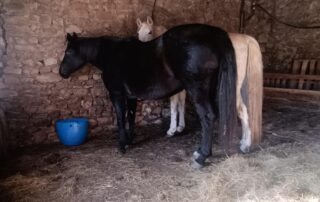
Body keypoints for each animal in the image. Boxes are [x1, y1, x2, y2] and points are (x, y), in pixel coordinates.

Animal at [58, 24, 236, 167]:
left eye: (69, 51)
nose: (62, 72)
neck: (111, 54)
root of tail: (214, 34)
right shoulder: (131, 97)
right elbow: (130, 117)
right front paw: (130, 141)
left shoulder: (116, 94)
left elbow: (121, 119)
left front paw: (122, 145)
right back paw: (200, 152)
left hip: (197, 89)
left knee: (207, 117)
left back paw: (201, 157)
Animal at [136, 17, 264, 153]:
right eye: (138, 33)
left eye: (149, 32)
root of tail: (246, 39)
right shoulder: (183, 88)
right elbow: (181, 103)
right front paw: (180, 127)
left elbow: (174, 105)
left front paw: (172, 130)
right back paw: (244, 141)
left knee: (243, 110)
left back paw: (245, 145)